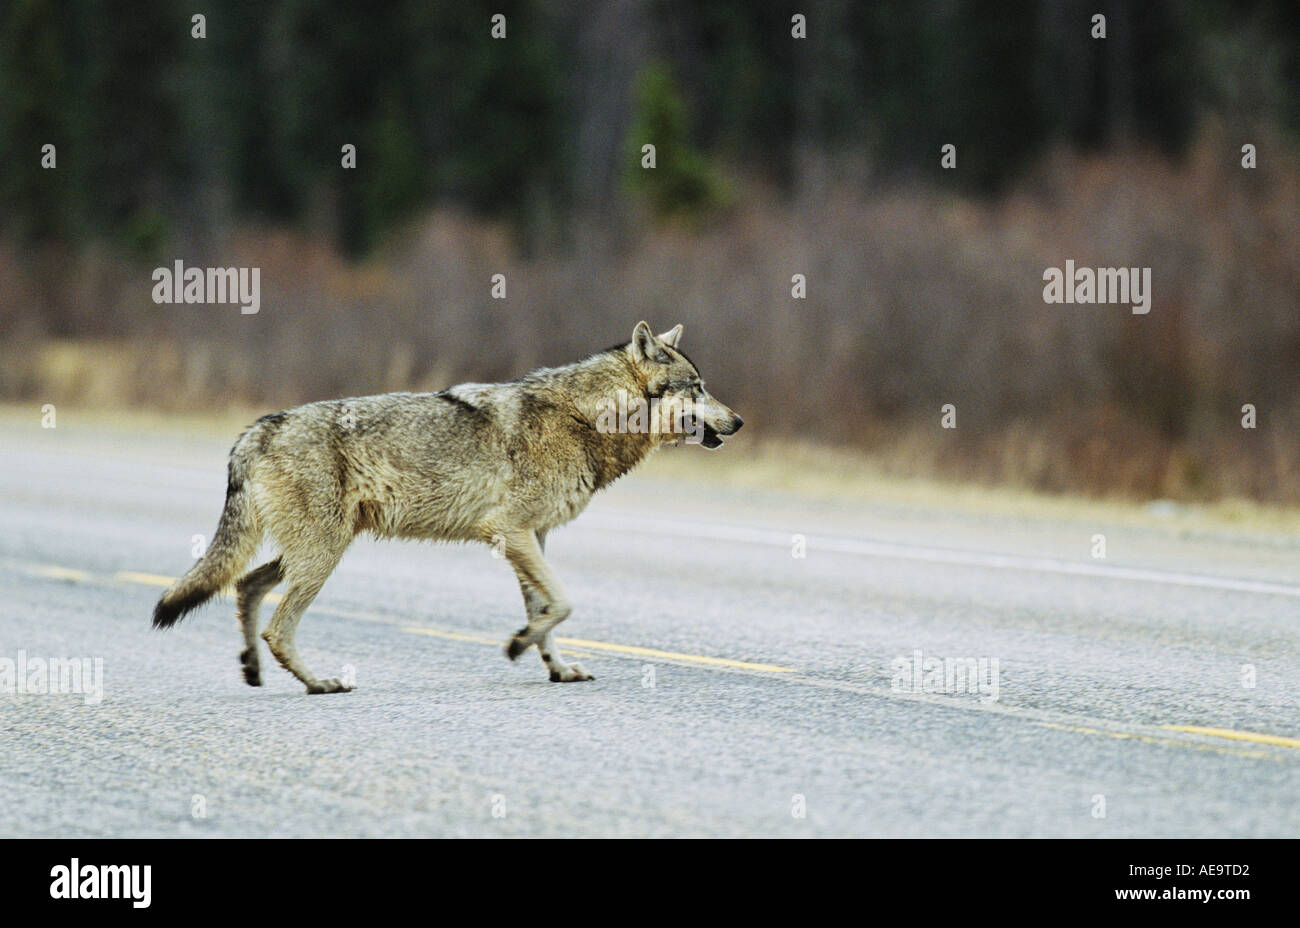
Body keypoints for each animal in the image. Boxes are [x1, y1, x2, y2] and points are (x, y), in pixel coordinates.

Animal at [152, 322, 743, 692]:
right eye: (697, 388)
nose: (738, 421)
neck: (586, 417)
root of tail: (259, 428)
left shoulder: (532, 538)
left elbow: (546, 612)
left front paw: (555, 667)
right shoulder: (510, 532)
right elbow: (562, 604)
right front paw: (517, 646)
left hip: (315, 550)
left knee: (246, 586)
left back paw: (253, 670)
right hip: (322, 555)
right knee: (277, 624)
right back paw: (320, 683)